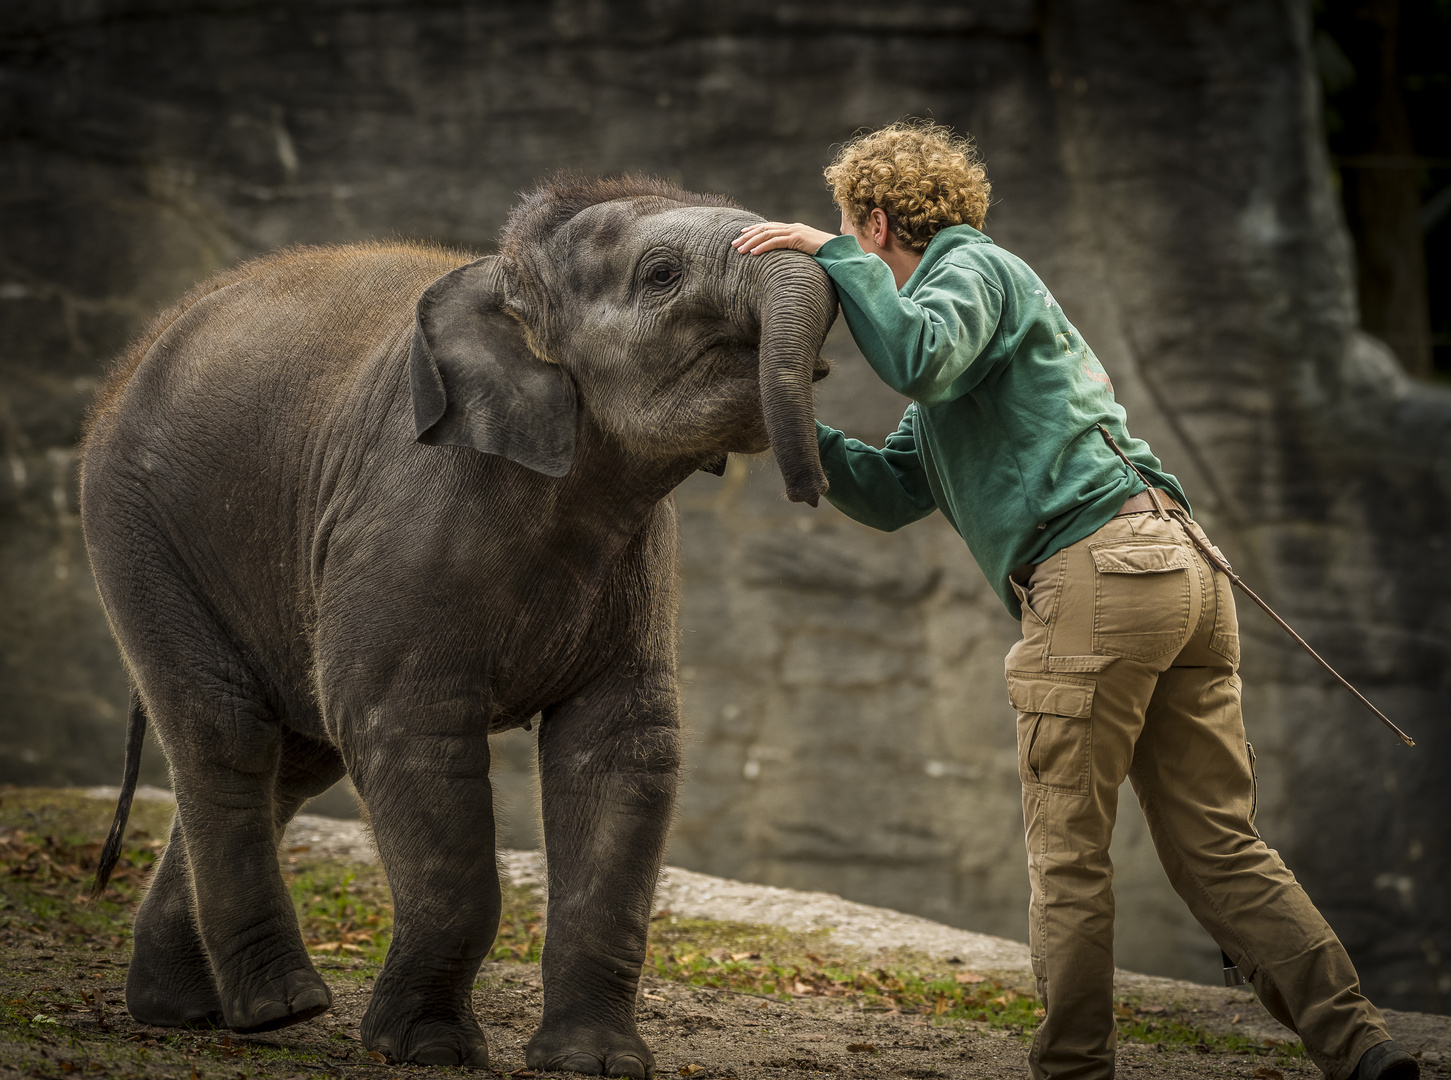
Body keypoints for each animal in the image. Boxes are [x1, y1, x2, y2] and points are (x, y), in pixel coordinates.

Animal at [82, 177, 841, 1074]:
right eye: (660, 275)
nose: (812, 489)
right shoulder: (409, 513)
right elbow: (401, 730)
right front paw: (429, 1049)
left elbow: (624, 748)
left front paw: (595, 1062)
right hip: (135, 527)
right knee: (227, 733)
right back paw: (282, 1008)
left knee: (294, 757)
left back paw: (185, 1010)